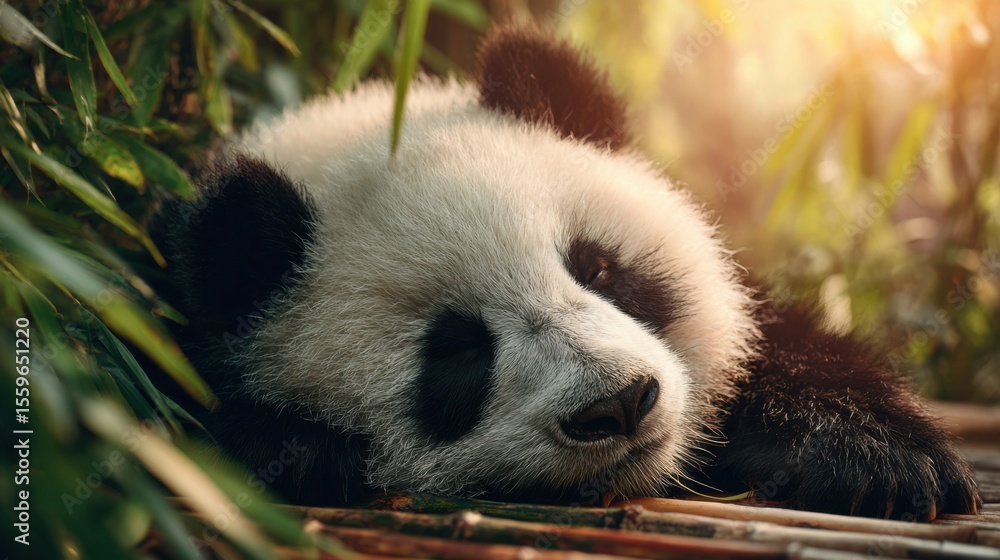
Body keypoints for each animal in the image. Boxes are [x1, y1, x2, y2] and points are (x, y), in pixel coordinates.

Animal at [151, 25, 980, 519]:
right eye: (458, 351)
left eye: (600, 268)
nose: (619, 404)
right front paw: (302, 452)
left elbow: (788, 352)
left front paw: (874, 459)